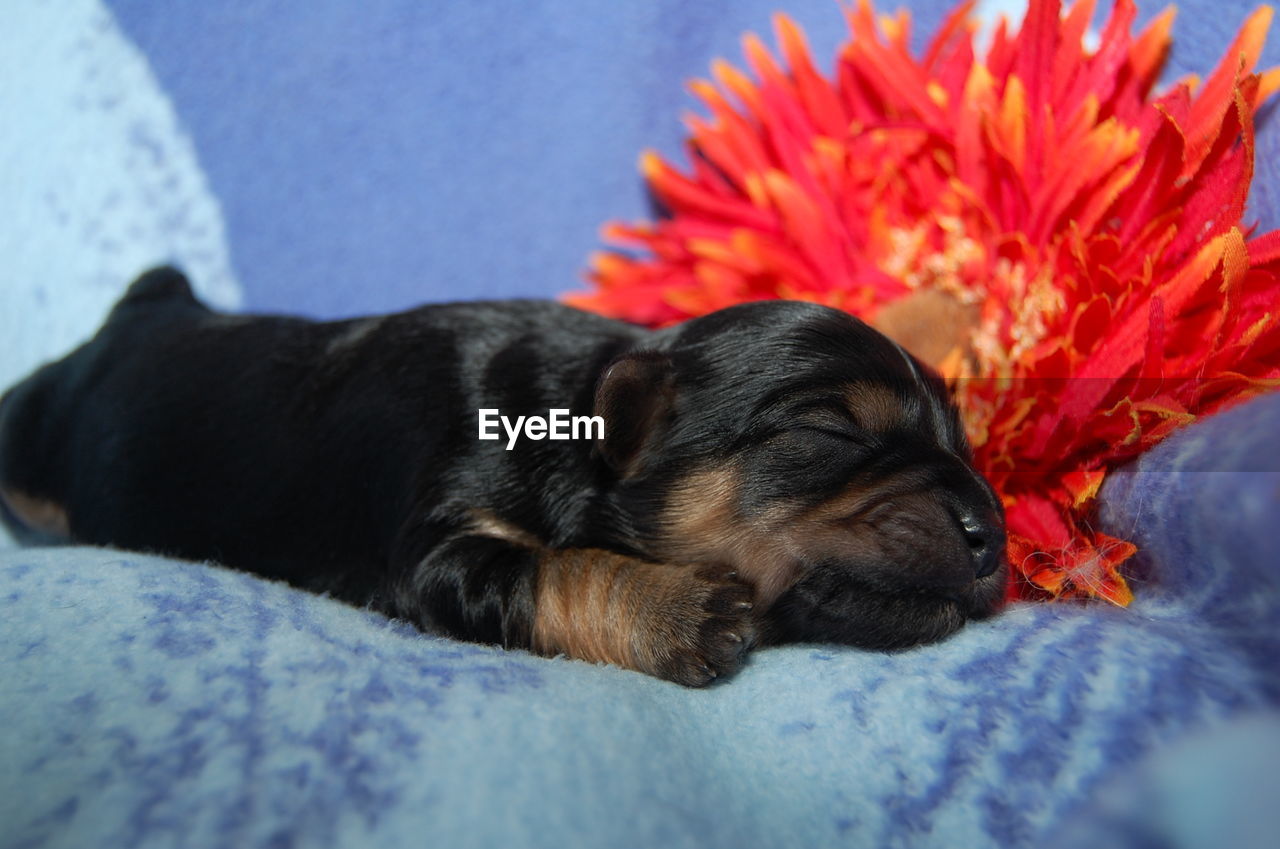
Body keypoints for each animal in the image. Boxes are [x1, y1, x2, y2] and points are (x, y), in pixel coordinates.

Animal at [2, 268, 1008, 686]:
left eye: (965, 444)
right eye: (828, 428)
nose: (993, 538)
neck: (575, 413)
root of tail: (144, 304)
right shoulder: (438, 546)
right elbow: (551, 568)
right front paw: (675, 608)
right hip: (32, 428)